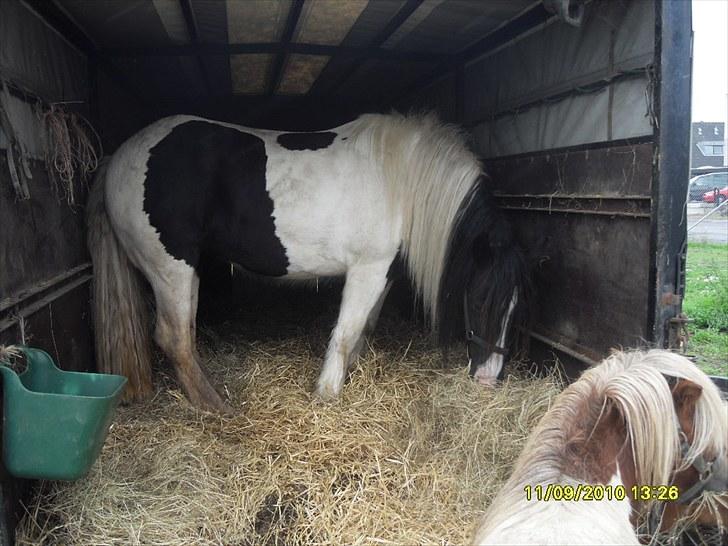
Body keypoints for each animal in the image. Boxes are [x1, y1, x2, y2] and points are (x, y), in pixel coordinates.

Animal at [86, 111, 528, 408]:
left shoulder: (382, 274)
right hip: (170, 267)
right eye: (481, 300)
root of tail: (120, 156)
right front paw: (328, 393)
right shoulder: (367, 269)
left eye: (517, 308)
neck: (400, 182)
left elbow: (364, 328)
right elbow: (346, 333)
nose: (489, 379)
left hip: (186, 271)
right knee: (173, 337)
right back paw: (215, 407)